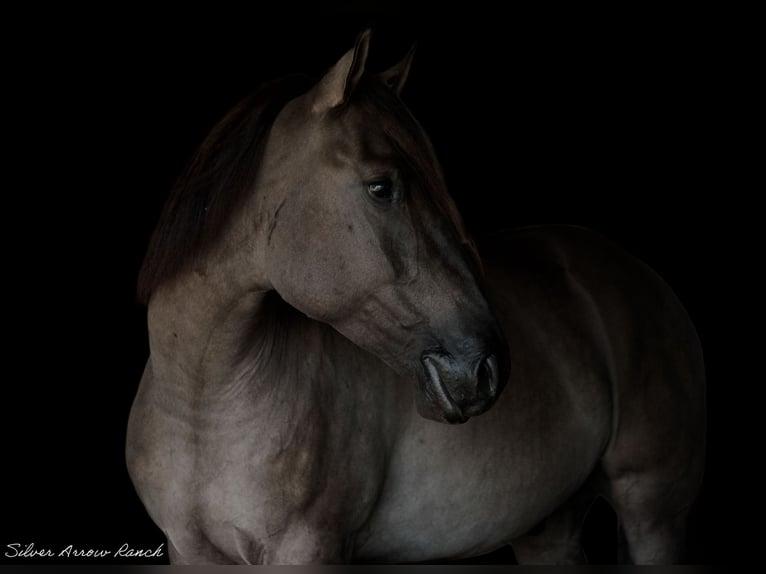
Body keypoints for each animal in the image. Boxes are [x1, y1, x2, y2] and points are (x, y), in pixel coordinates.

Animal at [127, 31, 708, 568]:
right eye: (381, 187)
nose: (486, 368)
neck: (204, 405)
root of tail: (640, 274)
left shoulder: (308, 549)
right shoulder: (190, 552)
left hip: (653, 512)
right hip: (549, 530)